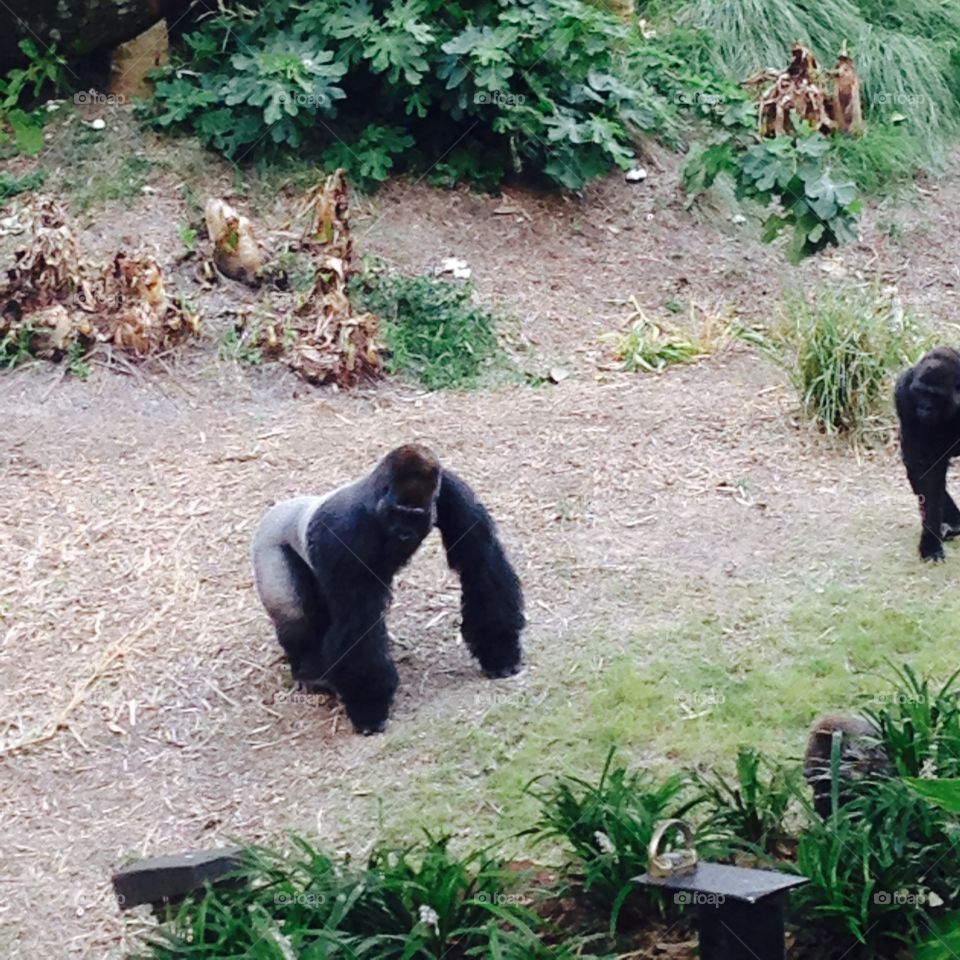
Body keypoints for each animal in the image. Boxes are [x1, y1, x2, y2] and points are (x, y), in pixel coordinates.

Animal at [251, 444, 525, 734]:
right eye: (398, 512)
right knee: (295, 615)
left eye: (415, 515)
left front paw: (500, 648)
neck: (376, 502)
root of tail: (274, 512)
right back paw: (311, 672)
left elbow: (479, 560)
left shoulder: (451, 490)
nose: (404, 533)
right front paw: (368, 704)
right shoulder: (344, 533)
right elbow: (357, 615)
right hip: (268, 546)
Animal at [895, 347, 960, 561]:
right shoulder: (904, 393)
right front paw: (930, 542)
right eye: (920, 392)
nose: (924, 408)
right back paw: (953, 523)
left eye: (934, 395)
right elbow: (925, 472)